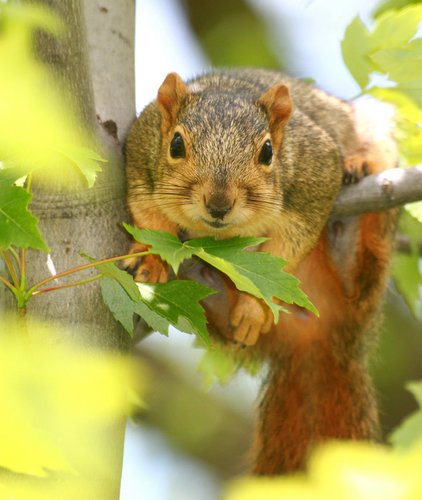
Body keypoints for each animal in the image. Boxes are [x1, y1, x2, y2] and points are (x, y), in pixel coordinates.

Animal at [124, 68, 398, 474]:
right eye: (175, 145)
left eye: (268, 152)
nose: (218, 204)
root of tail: (321, 335)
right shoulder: (140, 154)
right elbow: (148, 216)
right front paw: (151, 256)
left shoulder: (315, 174)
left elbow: (286, 250)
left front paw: (254, 307)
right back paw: (205, 283)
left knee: (360, 276)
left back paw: (352, 206)